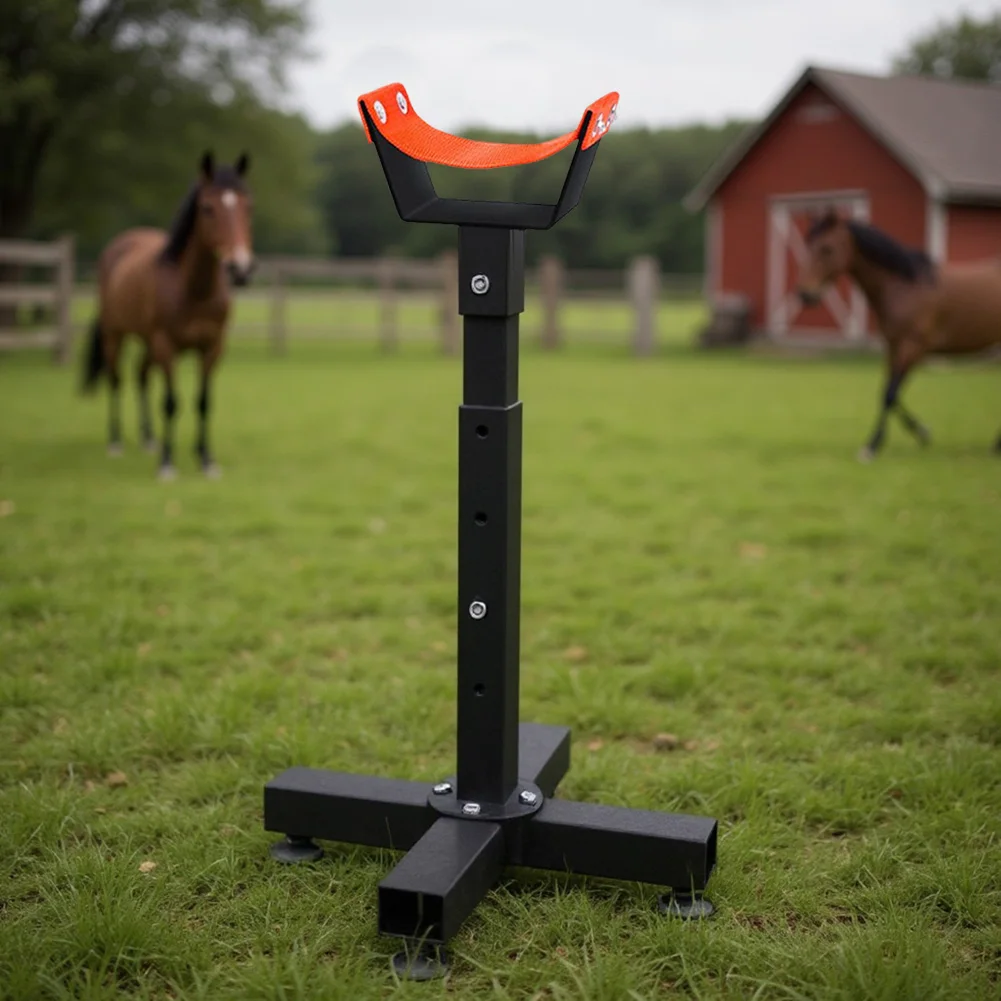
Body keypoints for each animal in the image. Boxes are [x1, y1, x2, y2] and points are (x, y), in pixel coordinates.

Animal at [81, 151, 254, 479]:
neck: (194, 290)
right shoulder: (165, 345)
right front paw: (167, 463)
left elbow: (203, 402)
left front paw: (206, 459)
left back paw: (149, 438)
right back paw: (116, 442)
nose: (240, 268)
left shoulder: (212, 347)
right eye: (208, 208)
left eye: (247, 206)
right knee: (116, 379)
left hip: (148, 345)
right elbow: (172, 402)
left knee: (141, 376)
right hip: (115, 336)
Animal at [796, 209, 1001, 461]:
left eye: (827, 248)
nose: (805, 294)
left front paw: (872, 445)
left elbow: (891, 394)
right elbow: (887, 391)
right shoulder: (894, 346)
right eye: (808, 245)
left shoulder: (913, 347)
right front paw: (922, 432)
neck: (903, 285)